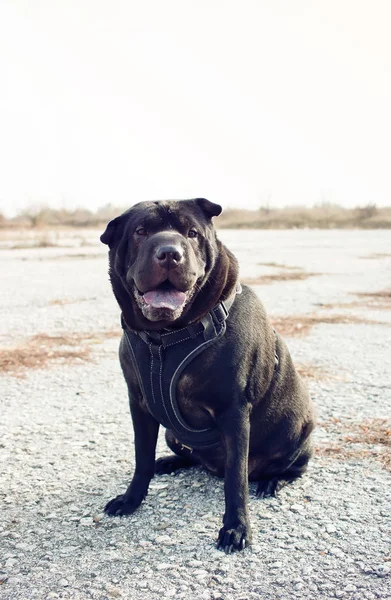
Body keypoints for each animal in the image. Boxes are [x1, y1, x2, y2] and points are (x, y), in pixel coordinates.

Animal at [101, 200, 316, 552]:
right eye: (141, 231)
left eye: (192, 233)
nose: (170, 254)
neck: (165, 338)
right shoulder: (139, 404)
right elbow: (141, 457)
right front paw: (131, 500)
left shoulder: (234, 412)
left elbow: (236, 479)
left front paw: (236, 528)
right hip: (173, 434)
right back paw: (169, 463)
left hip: (300, 432)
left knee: (290, 467)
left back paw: (273, 481)